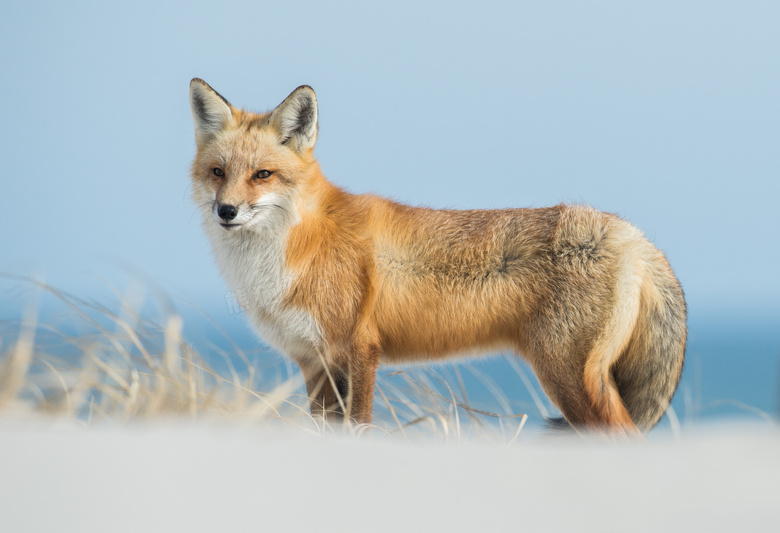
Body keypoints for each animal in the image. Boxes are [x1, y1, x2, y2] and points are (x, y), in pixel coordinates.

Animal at [190, 79, 688, 434]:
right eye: (218, 172)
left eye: (262, 175)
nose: (226, 211)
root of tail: (630, 234)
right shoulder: (315, 364)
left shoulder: (359, 350)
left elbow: (358, 429)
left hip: (569, 379)